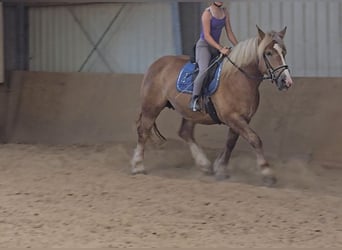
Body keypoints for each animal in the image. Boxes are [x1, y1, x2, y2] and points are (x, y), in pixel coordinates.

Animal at [131, 26, 294, 186]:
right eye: (268, 53)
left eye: (284, 52)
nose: (286, 81)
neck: (239, 79)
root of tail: (156, 64)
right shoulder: (233, 118)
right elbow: (255, 140)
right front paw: (268, 173)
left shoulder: (241, 119)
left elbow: (230, 143)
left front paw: (220, 168)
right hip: (151, 108)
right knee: (143, 131)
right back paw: (138, 166)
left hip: (189, 112)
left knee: (185, 132)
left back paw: (204, 165)